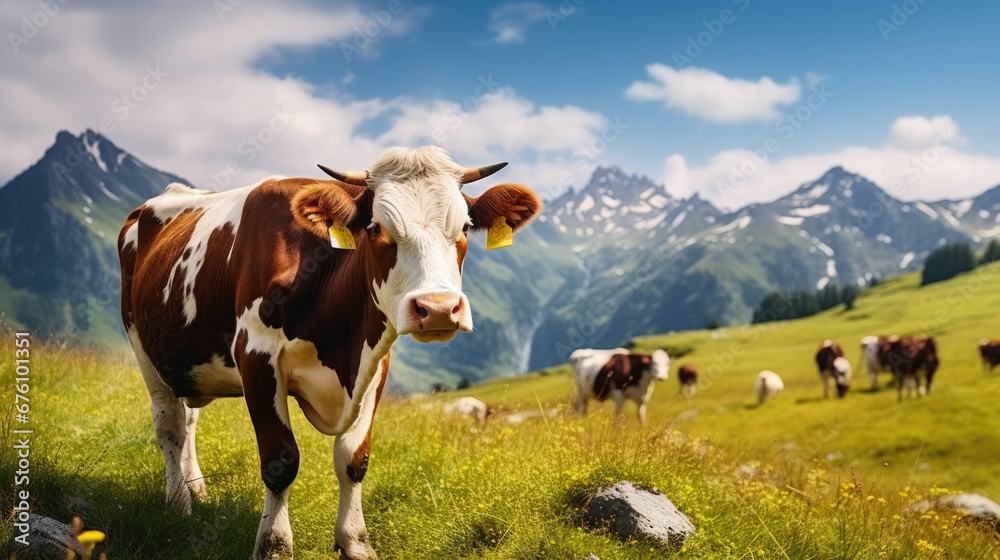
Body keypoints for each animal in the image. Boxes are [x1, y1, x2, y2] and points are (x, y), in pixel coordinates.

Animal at [120, 147, 544, 556]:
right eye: (376, 228)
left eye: (467, 227)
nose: (438, 308)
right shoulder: (256, 355)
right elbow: (280, 462)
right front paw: (274, 546)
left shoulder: (375, 360)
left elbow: (354, 459)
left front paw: (356, 543)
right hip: (142, 344)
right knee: (170, 424)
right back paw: (179, 503)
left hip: (188, 365)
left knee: (189, 419)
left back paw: (198, 490)